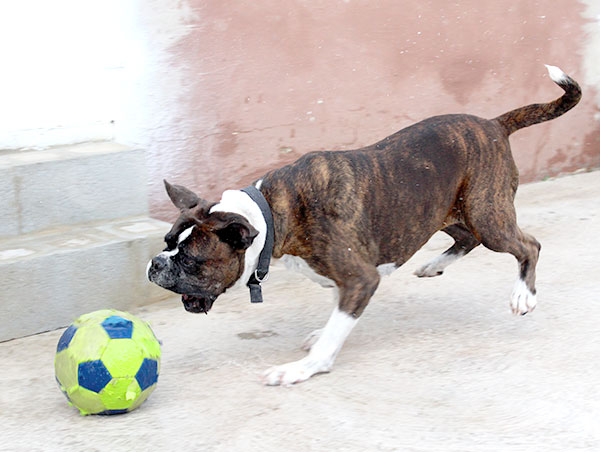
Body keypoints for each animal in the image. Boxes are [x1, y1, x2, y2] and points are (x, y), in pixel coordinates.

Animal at [148, 65, 581, 386]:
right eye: (167, 241)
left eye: (191, 261)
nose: (155, 264)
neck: (273, 211)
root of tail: (492, 124)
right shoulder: (346, 280)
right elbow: (335, 316)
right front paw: (321, 335)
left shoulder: (360, 278)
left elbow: (335, 329)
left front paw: (303, 368)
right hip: (443, 210)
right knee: (465, 238)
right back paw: (433, 264)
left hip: (487, 215)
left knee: (528, 246)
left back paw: (523, 295)